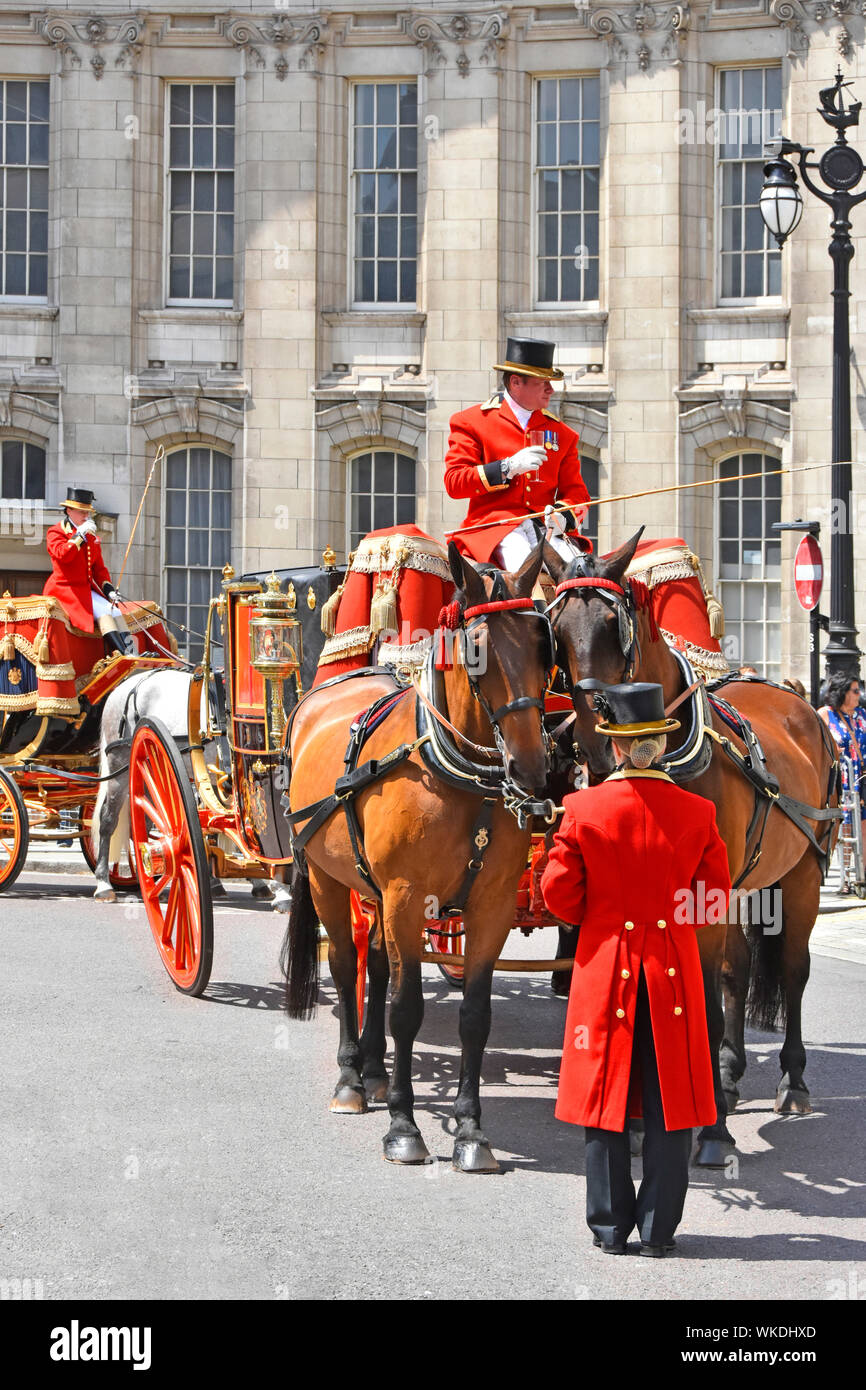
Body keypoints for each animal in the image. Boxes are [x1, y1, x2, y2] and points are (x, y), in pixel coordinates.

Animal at [284, 542, 556, 1173]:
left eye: (543, 644)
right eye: (478, 651)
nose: (532, 768)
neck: (459, 777)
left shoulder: (490, 906)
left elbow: (474, 1015)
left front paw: (471, 1131)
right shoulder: (407, 896)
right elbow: (406, 1009)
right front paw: (405, 1127)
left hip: (374, 891)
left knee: (378, 966)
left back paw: (375, 1071)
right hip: (328, 879)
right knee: (346, 965)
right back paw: (352, 1080)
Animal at [547, 530, 839, 1162]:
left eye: (613, 625)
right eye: (555, 628)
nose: (589, 740)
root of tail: (797, 700)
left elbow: (703, 995)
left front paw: (712, 1131)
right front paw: (643, 1118)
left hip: (803, 872)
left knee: (794, 968)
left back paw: (792, 1081)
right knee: (738, 968)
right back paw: (727, 1074)